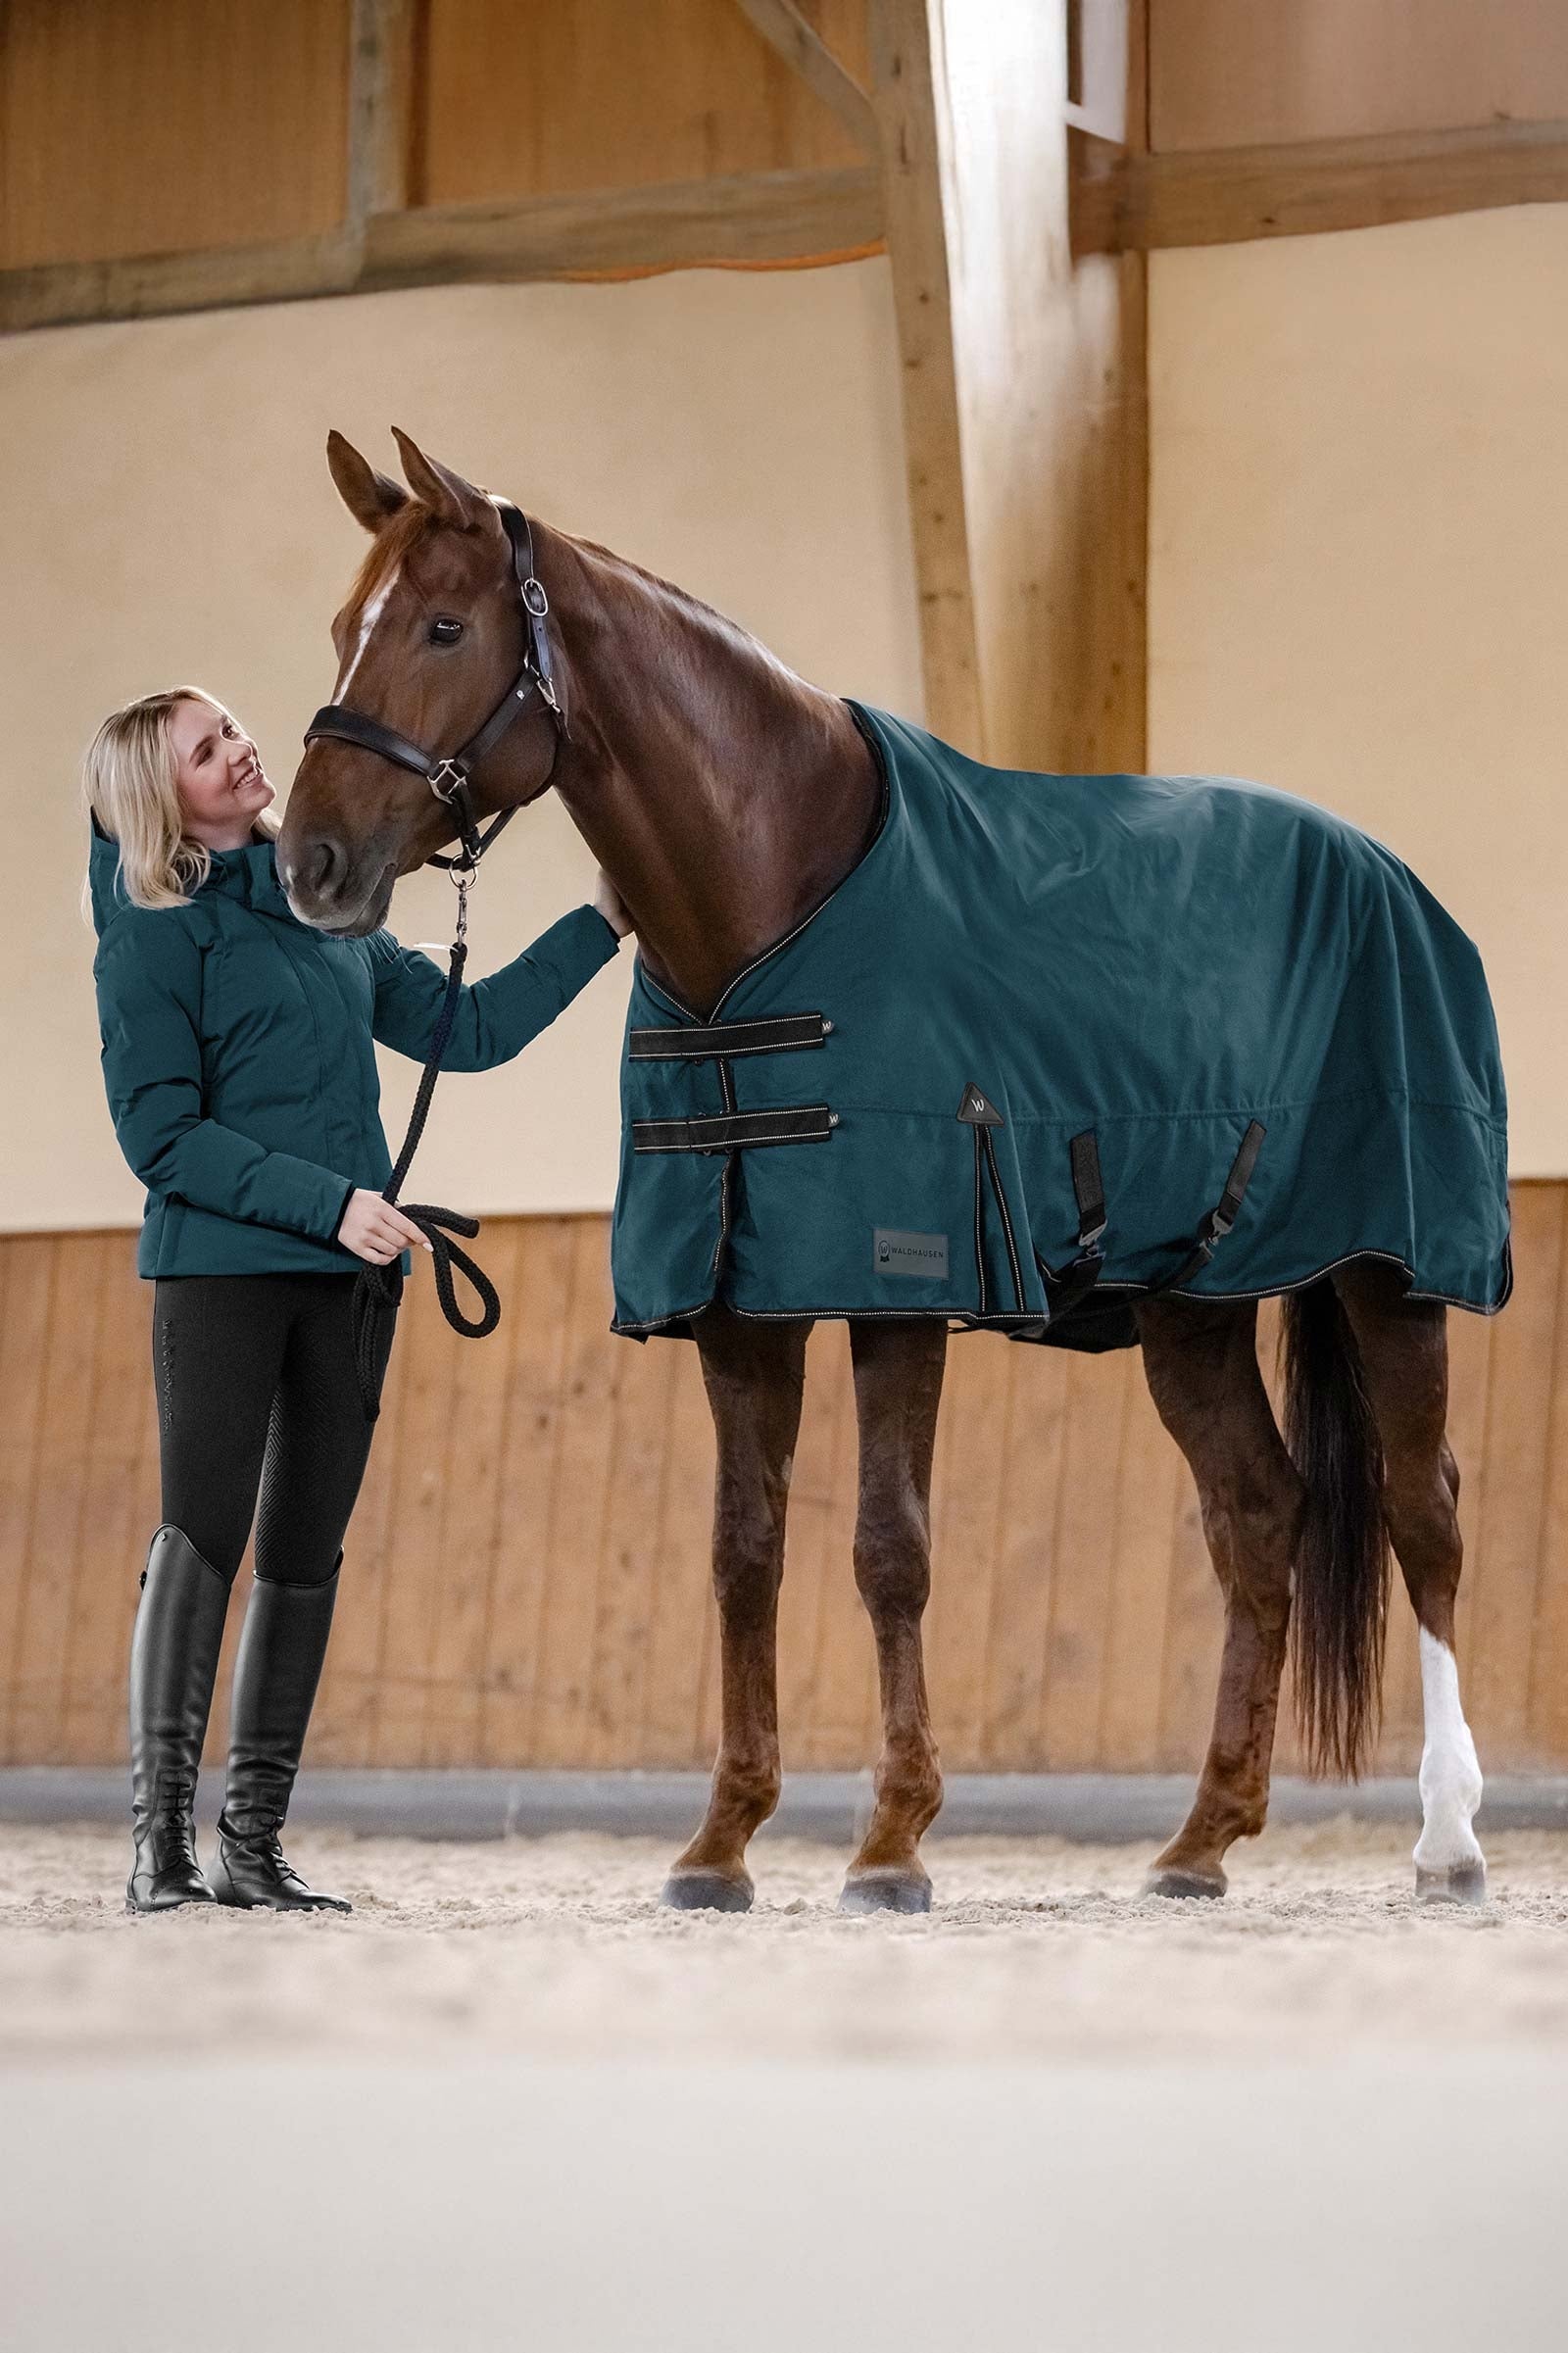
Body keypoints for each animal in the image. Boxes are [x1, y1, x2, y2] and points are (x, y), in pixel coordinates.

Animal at [278, 426, 1495, 1913]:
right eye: (345, 626)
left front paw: (893, 1841)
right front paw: (721, 1841)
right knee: (1259, 1517)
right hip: (1189, 1309)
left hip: (1392, 1274)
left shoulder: (898, 1285)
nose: (309, 864)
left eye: (444, 626)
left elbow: (886, 1549)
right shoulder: (735, 1305)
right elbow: (743, 1554)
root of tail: (1388, 879)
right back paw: (1200, 1840)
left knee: (1422, 1510)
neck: (772, 888)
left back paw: (1448, 1841)